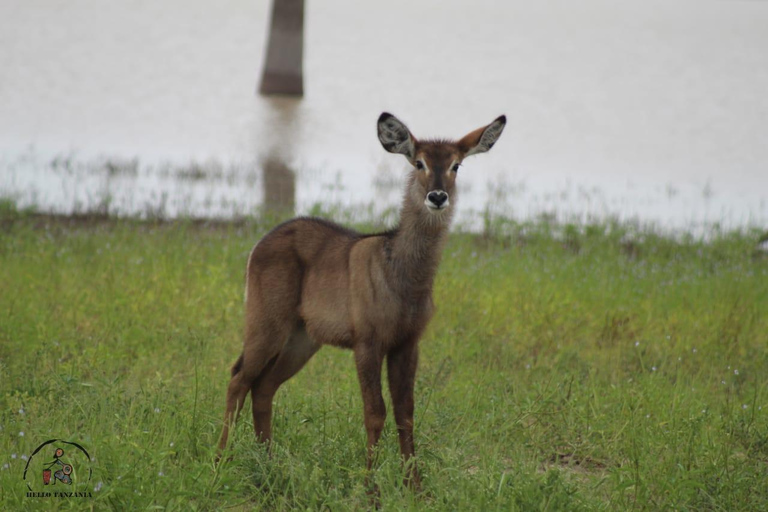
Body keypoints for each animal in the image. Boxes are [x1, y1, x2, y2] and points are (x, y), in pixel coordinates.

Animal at [218, 112, 504, 488]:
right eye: (419, 162)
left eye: (456, 165)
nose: (437, 196)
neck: (404, 279)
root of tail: (260, 243)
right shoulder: (367, 341)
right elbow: (375, 412)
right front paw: (371, 487)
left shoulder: (407, 342)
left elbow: (406, 412)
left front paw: (414, 487)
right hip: (266, 322)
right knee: (238, 378)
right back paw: (220, 460)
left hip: (302, 338)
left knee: (263, 387)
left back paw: (269, 466)